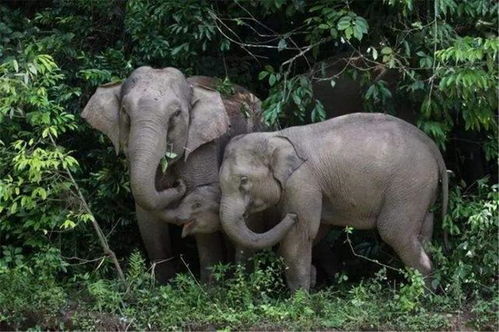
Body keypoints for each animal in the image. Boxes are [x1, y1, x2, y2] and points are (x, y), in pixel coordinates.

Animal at [81, 67, 262, 282]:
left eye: (176, 114)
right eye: (124, 111)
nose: (178, 185)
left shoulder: (203, 149)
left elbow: (203, 219)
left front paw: (208, 286)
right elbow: (147, 217)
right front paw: (162, 284)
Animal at [219, 113, 450, 292]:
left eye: (243, 181)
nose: (290, 216)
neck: (274, 137)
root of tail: (432, 145)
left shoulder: (302, 183)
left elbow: (301, 234)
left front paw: (299, 299)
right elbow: (316, 231)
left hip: (410, 184)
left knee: (394, 231)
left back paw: (421, 296)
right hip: (421, 189)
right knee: (424, 229)